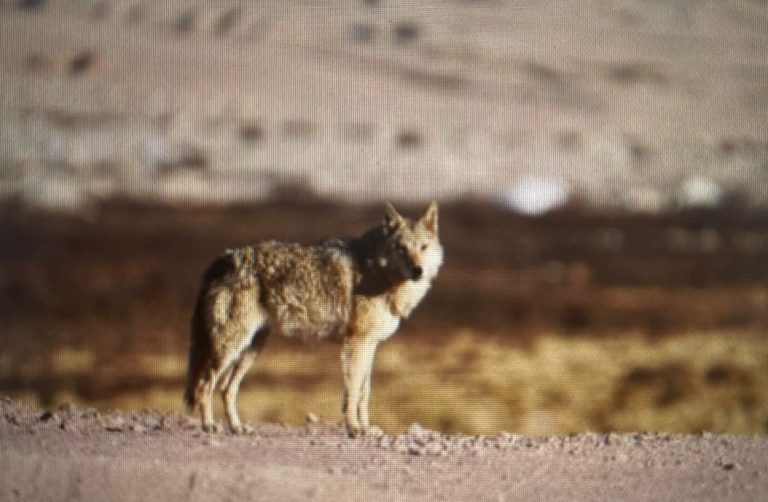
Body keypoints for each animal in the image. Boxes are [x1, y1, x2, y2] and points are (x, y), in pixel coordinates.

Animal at [184, 202, 442, 437]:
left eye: (423, 247)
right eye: (401, 248)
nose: (418, 270)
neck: (380, 275)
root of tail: (225, 257)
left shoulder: (370, 344)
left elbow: (364, 392)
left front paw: (367, 428)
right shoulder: (355, 343)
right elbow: (353, 391)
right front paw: (354, 428)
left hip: (251, 349)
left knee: (226, 388)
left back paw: (237, 427)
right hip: (230, 347)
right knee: (203, 385)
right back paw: (209, 426)